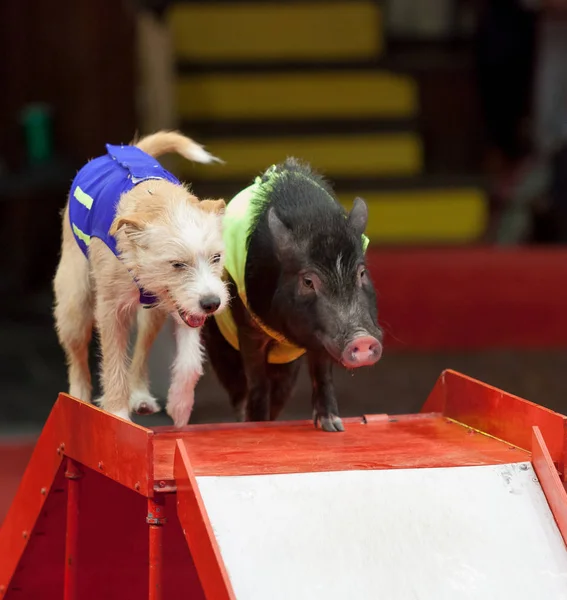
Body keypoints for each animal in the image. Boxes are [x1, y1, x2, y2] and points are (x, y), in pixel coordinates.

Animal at [53, 130, 229, 426]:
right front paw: (117, 414)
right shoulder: (110, 310)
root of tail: (127, 150)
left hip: (153, 314)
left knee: (142, 347)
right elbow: (113, 363)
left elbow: (190, 360)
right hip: (74, 303)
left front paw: (180, 404)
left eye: (216, 258)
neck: (158, 202)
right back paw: (78, 398)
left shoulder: (185, 305)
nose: (212, 304)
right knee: (77, 357)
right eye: (177, 264)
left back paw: (139, 394)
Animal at [202, 159, 384, 432]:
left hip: (287, 368)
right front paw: (258, 426)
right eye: (308, 281)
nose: (362, 339)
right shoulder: (249, 329)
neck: (315, 221)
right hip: (220, 348)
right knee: (240, 392)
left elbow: (322, 373)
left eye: (361, 273)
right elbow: (258, 382)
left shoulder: (322, 335)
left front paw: (333, 426)